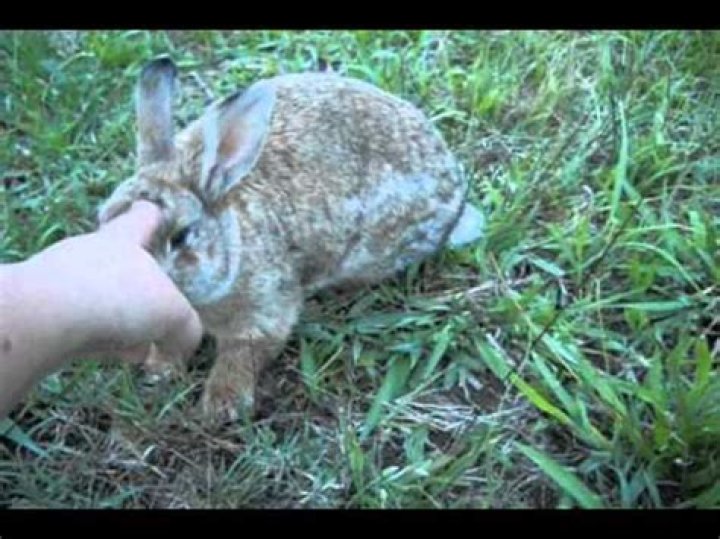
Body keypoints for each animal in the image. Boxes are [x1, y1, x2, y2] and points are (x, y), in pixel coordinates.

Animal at [97, 57, 485, 424]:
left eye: (180, 237)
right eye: (103, 222)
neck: (233, 245)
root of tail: (454, 191)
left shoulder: (265, 308)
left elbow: (246, 351)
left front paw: (221, 405)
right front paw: (159, 370)